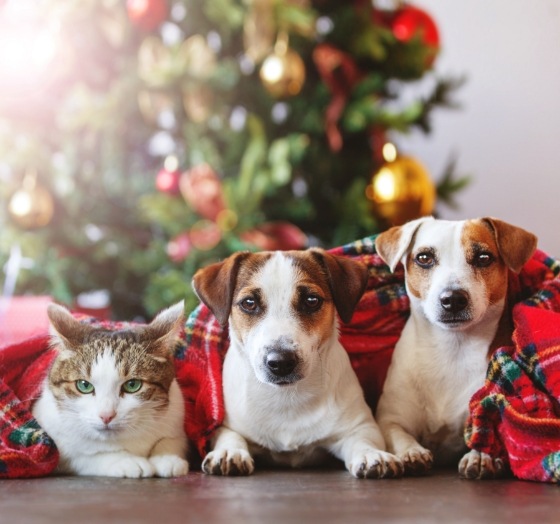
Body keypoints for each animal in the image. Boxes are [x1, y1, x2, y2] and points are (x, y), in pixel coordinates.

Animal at [32, 300, 190, 476]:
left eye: (132, 385)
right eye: (84, 385)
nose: (106, 415)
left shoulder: (175, 414)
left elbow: (172, 440)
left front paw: (167, 458)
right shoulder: (54, 446)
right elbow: (86, 455)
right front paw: (126, 461)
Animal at [191, 250, 402, 478]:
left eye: (311, 300)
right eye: (249, 303)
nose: (281, 362)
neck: (286, 399)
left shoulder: (361, 426)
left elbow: (363, 440)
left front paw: (372, 454)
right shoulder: (223, 425)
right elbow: (229, 435)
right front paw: (230, 452)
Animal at [374, 216, 536, 478]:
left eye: (483, 257)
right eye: (424, 258)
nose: (452, 299)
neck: (451, 348)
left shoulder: (482, 410)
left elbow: (484, 433)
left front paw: (480, 455)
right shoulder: (390, 418)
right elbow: (398, 434)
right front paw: (411, 451)